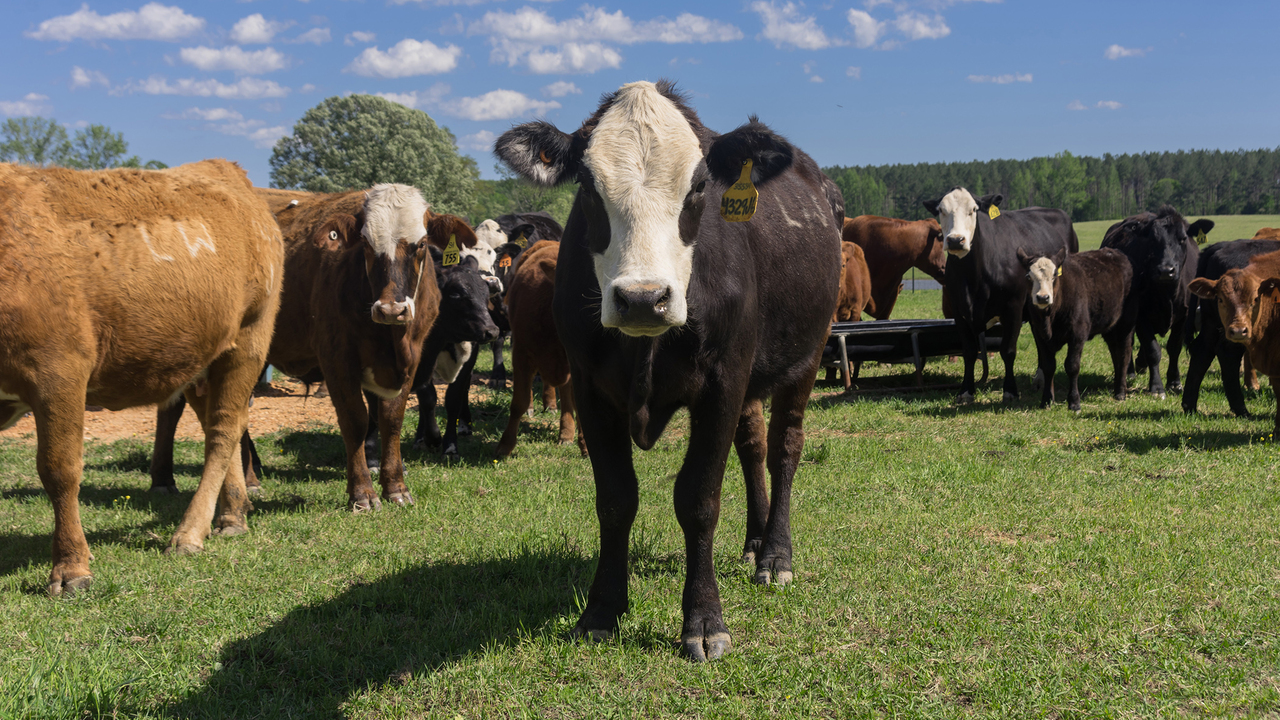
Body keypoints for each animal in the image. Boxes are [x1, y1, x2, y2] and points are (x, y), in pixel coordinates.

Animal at [0, 160, 283, 595]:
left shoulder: (58, 374)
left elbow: (59, 469)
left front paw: (71, 567)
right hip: (199, 360)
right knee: (220, 424)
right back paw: (232, 513)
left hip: (248, 340)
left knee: (223, 430)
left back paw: (190, 532)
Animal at [922, 188, 1078, 403]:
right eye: (941, 210)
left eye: (973, 209)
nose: (955, 240)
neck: (973, 276)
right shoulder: (959, 312)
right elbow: (969, 351)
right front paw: (966, 391)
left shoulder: (1013, 309)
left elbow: (1008, 350)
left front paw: (1010, 390)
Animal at [1017, 247, 1135, 411]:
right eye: (1028, 276)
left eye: (1055, 275)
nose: (1043, 297)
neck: (1050, 318)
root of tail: (1115, 252)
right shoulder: (1040, 335)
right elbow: (1048, 367)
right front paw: (1046, 400)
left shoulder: (1078, 335)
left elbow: (1072, 366)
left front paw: (1074, 402)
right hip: (1110, 327)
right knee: (1115, 352)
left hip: (1125, 324)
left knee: (1124, 354)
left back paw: (1121, 392)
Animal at [1100, 207, 1213, 397]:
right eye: (1152, 240)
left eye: (1183, 239)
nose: (1166, 270)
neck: (1167, 293)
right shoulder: (1141, 316)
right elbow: (1153, 350)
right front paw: (1157, 387)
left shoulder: (1184, 316)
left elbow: (1174, 347)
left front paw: (1174, 382)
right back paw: (1131, 371)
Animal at [1182, 238, 1280, 416]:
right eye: (1221, 299)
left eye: (1255, 299)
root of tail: (1219, 246)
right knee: (1227, 353)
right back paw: (1241, 409)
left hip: (1213, 325)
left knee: (1202, 352)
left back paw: (1189, 406)